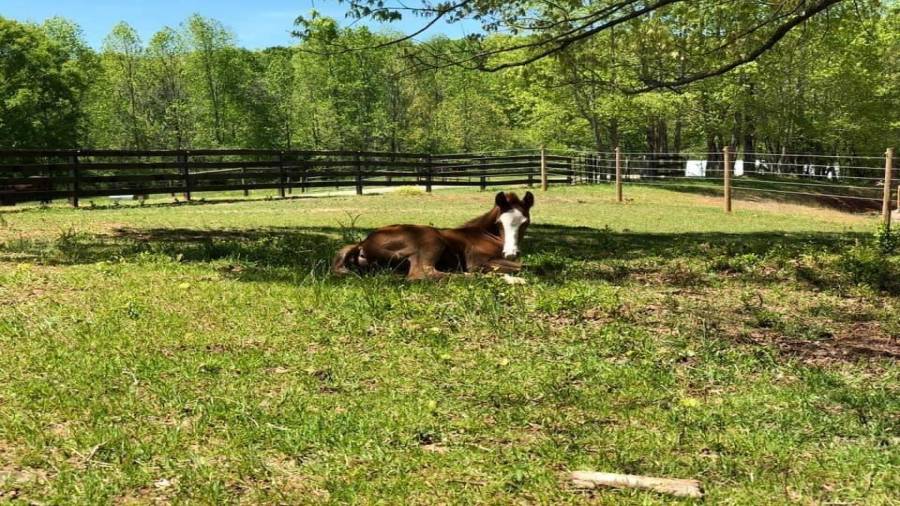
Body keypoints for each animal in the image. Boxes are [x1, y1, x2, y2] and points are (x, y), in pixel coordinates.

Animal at [333, 191, 534, 280]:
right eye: (500, 223)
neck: (485, 234)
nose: (510, 253)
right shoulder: (477, 262)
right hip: (431, 239)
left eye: (525, 222)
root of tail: (362, 244)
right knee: (421, 273)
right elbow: (521, 266)